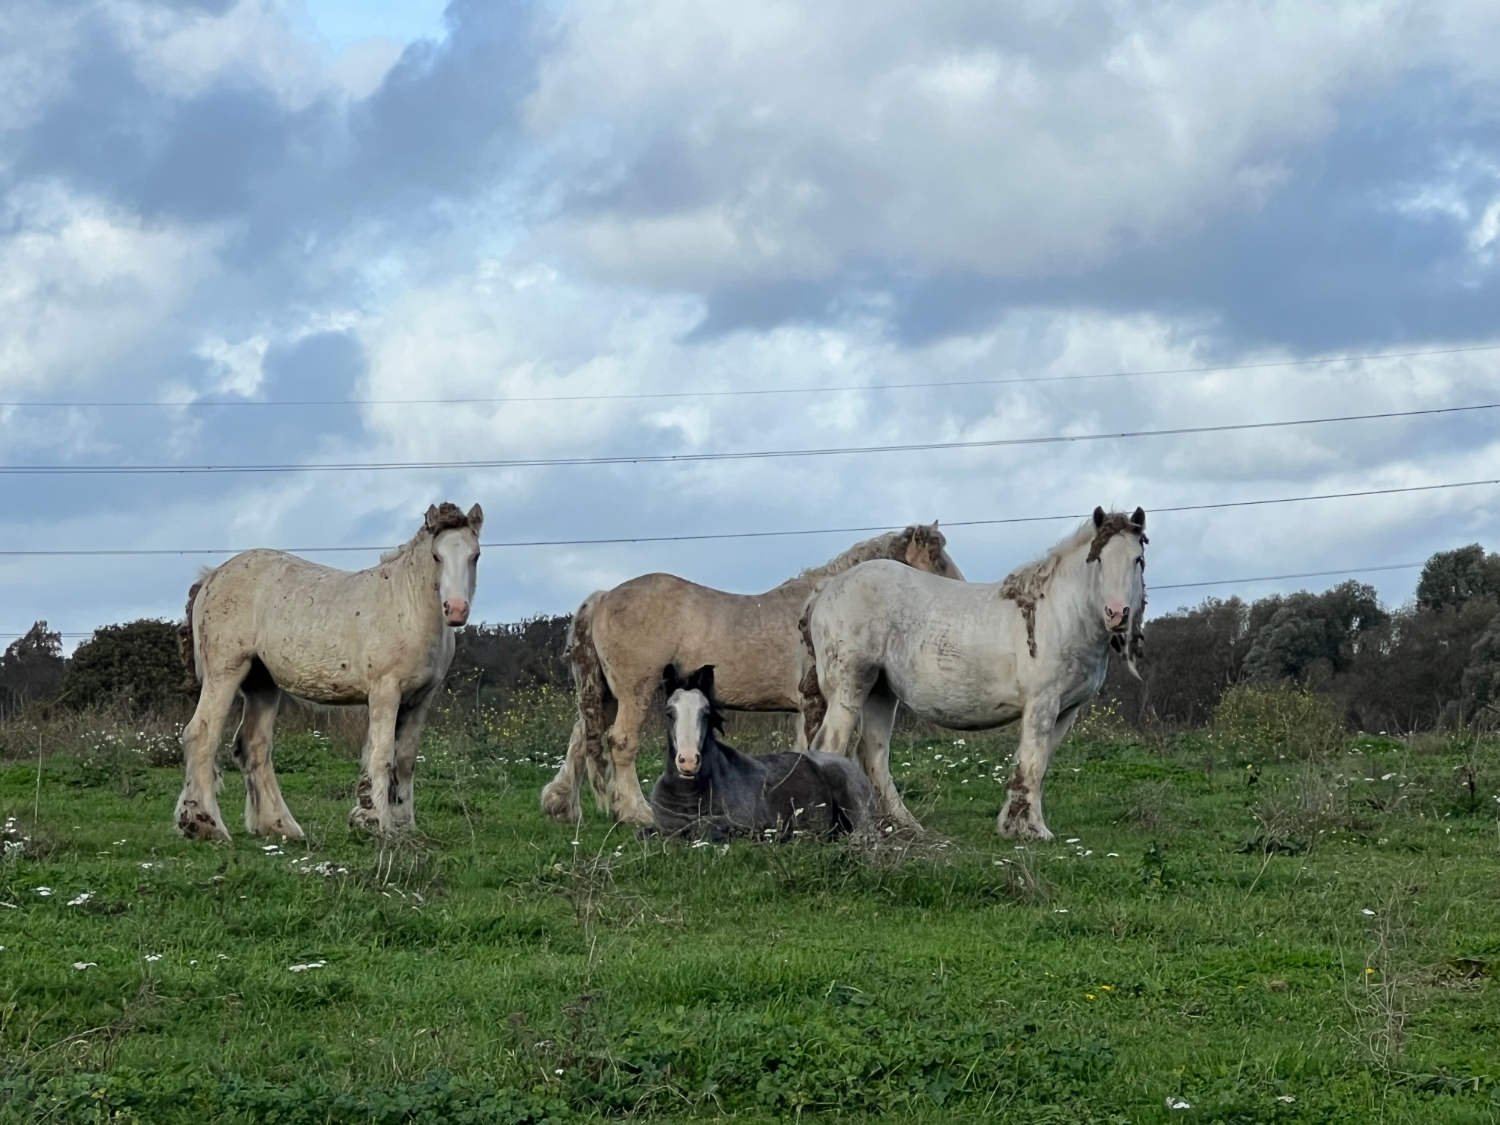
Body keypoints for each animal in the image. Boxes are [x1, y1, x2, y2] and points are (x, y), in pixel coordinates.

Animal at [173, 504, 483, 846]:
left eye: (475, 555)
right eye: (436, 556)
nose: (456, 610)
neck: (408, 605)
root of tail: (211, 577)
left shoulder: (420, 699)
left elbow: (405, 760)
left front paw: (403, 826)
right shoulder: (385, 691)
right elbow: (382, 754)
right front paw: (377, 823)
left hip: (261, 683)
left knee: (254, 745)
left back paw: (279, 826)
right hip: (226, 672)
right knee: (201, 734)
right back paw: (205, 824)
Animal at [810, 507, 1146, 840]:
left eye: (1137, 559)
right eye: (1098, 560)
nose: (1117, 613)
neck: (1061, 614)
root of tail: (825, 592)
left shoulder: (1067, 710)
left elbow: (1038, 763)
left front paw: (1014, 824)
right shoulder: (1042, 703)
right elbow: (1033, 762)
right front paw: (1034, 830)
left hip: (880, 692)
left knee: (874, 755)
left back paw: (906, 827)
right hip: (851, 684)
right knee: (830, 747)